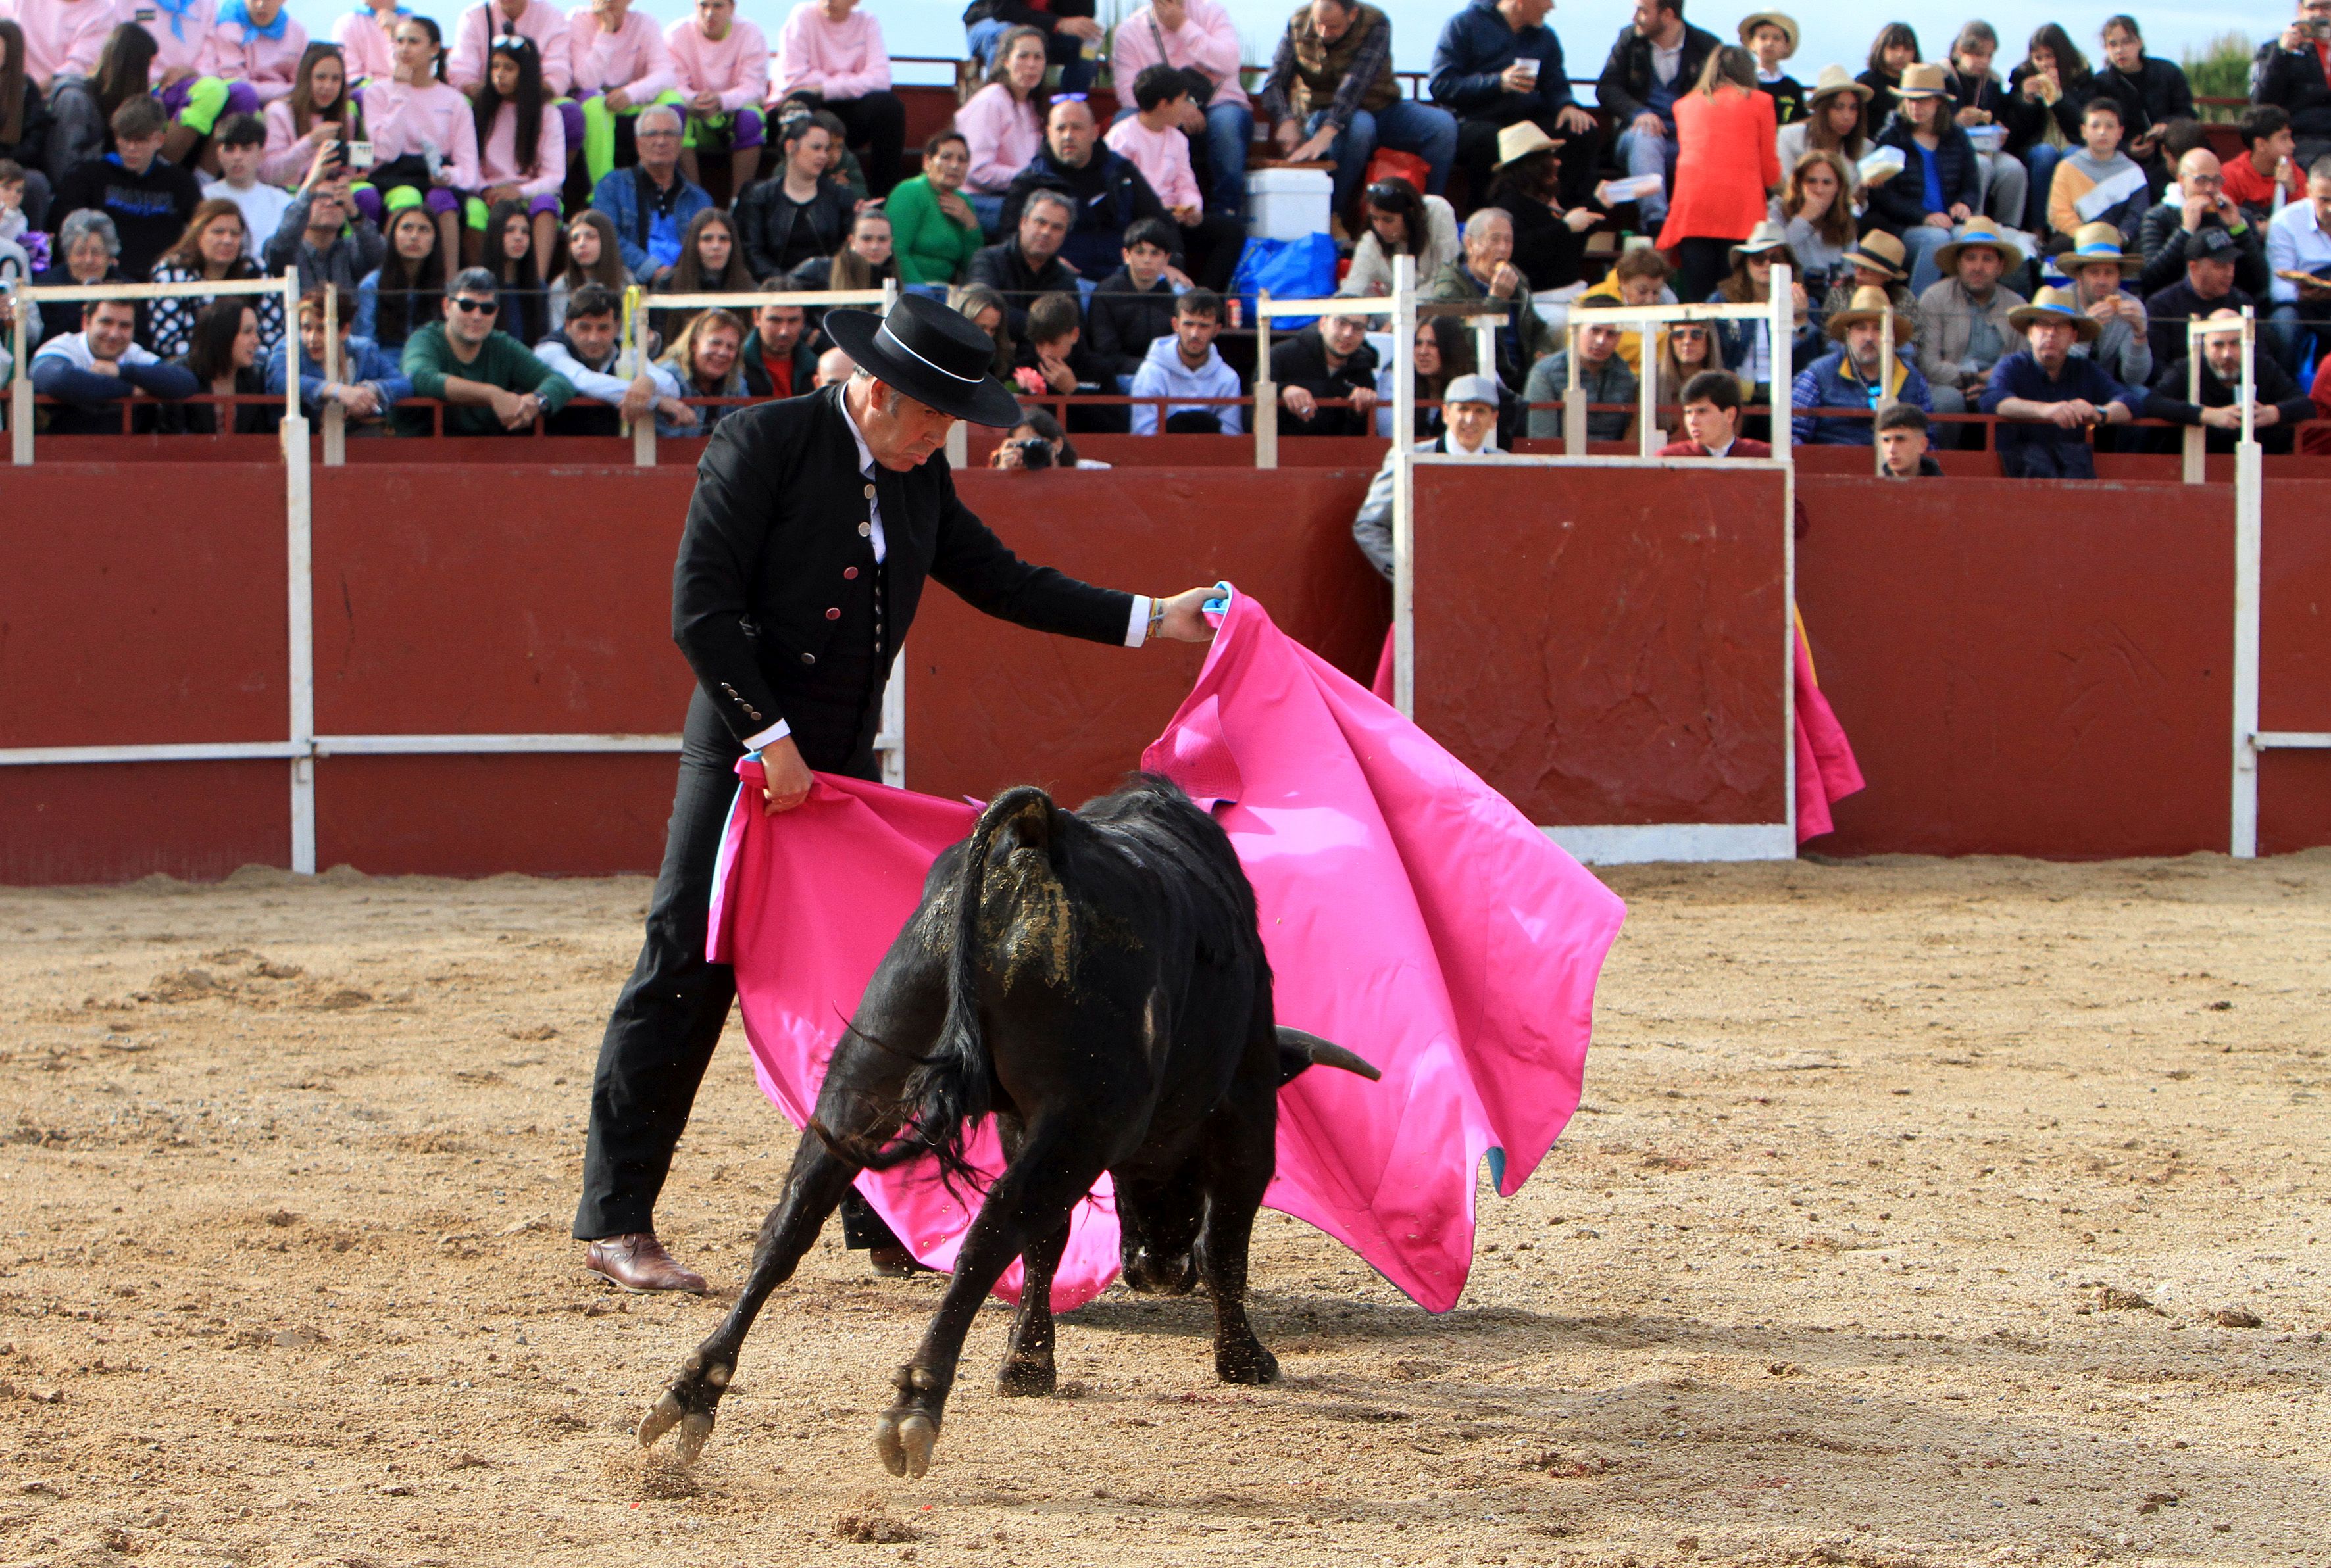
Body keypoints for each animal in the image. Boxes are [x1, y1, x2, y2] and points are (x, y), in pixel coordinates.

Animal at [629, 778, 1370, 1472]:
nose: (1160, 1270)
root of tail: (1038, 837)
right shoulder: (1245, 1112)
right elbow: (1223, 1244)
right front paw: (1245, 1361)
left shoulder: (1022, 1122)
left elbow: (1048, 1242)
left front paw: (1027, 1364)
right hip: (1087, 1119)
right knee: (987, 1236)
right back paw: (916, 1401)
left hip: (868, 1067)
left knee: (792, 1221)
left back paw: (693, 1390)